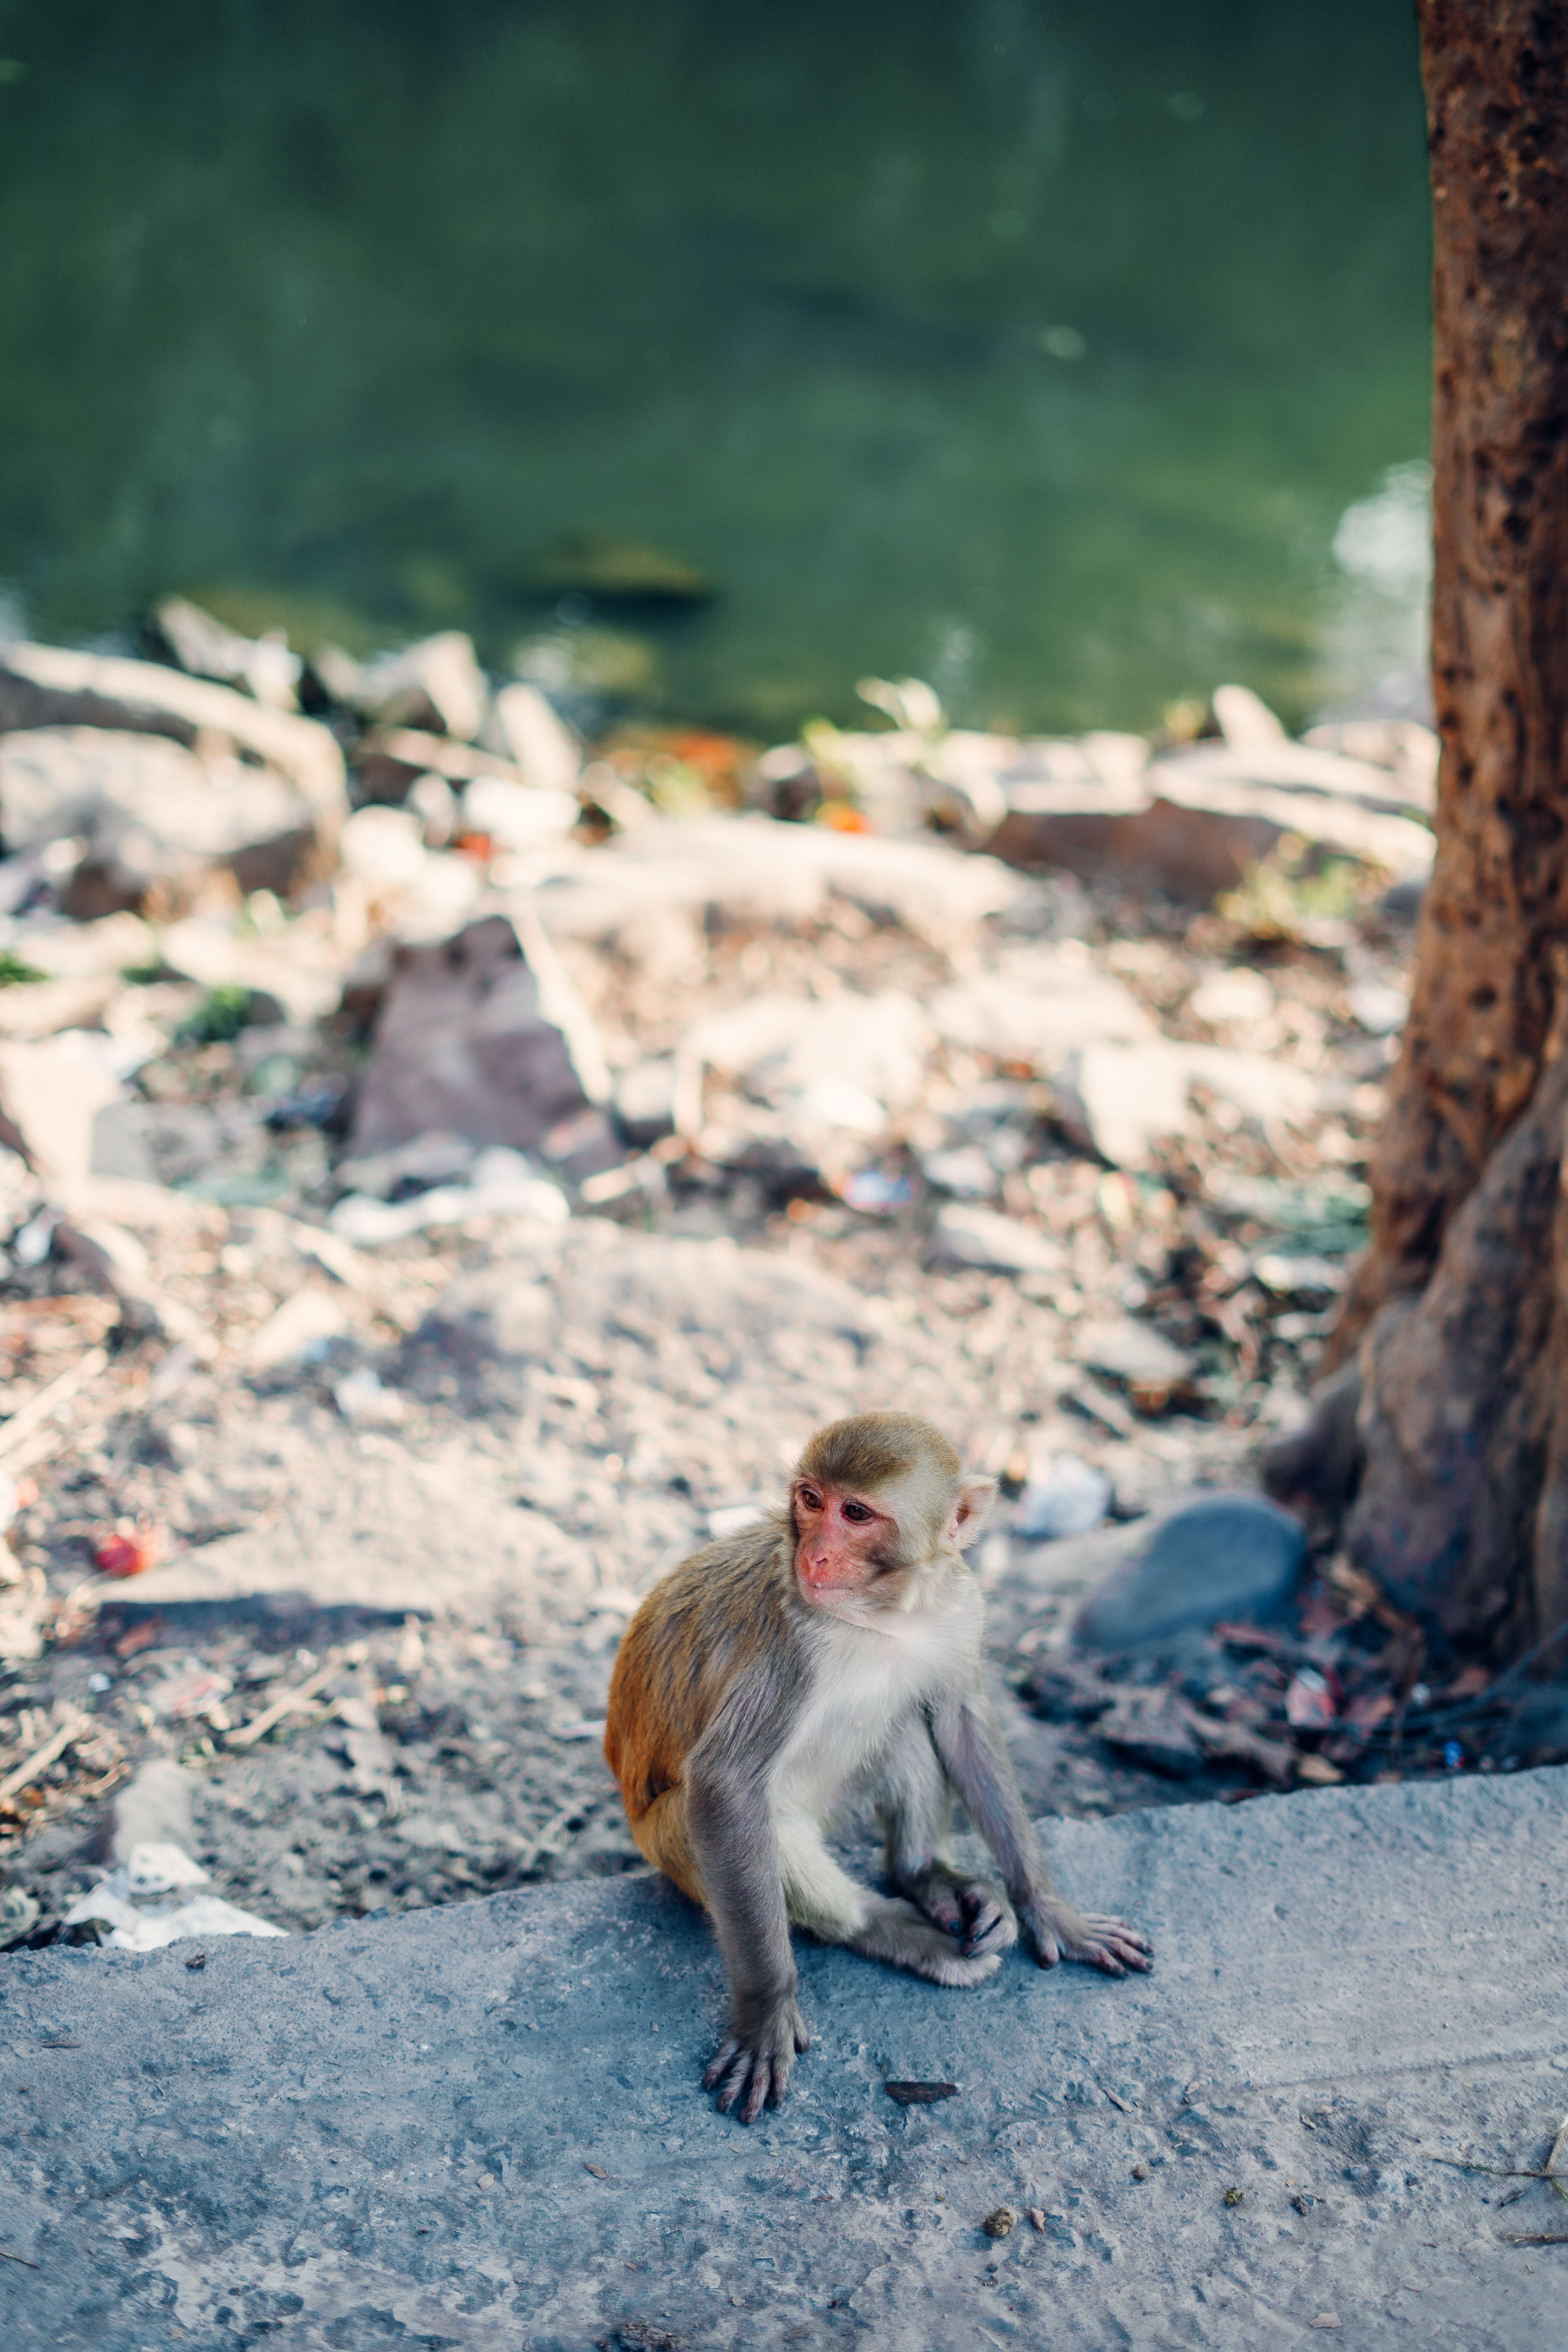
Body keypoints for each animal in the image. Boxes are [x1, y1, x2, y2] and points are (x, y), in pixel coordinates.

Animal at [604, 1410, 1152, 2123]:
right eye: (811, 1499)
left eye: (857, 1512)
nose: (813, 1556)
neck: (882, 1615)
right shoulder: (788, 1647)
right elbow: (725, 1788)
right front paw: (766, 2007)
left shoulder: (960, 1607)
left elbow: (961, 1720)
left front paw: (1049, 1908)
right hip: (671, 1840)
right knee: (754, 1829)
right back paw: (888, 1929)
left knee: (901, 1726)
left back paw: (929, 1879)